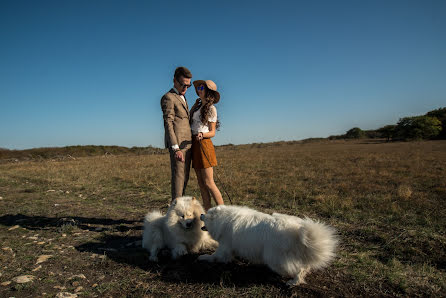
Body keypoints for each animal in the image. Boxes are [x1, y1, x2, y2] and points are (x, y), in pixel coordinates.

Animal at [199, 205, 338, 286]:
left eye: (205, 214)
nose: (200, 214)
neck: (222, 220)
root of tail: (297, 232)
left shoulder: (224, 247)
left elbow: (214, 256)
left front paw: (204, 257)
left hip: (276, 260)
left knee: (298, 269)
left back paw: (293, 282)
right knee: (304, 266)